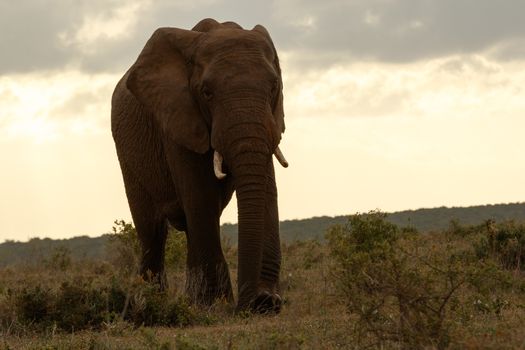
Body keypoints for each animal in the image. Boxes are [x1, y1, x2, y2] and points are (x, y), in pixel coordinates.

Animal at [111, 17, 288, 314]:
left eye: (274, 87)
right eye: (207, 93)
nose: (247, 306)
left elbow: (266, 188)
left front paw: (267, 301)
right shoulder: (177, 118)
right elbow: (200, 195)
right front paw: (215, 303)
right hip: (127, 154)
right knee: (153, 232)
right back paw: (151, 303)